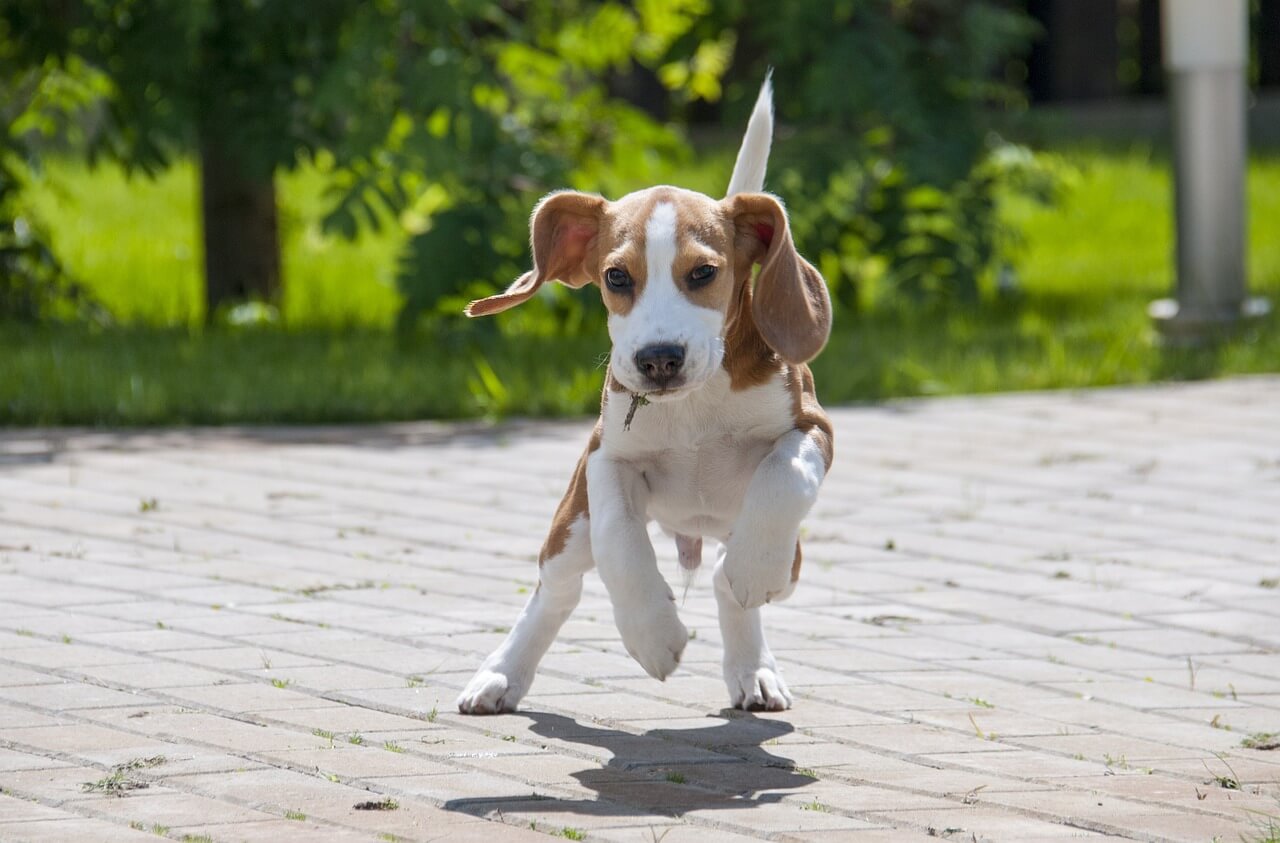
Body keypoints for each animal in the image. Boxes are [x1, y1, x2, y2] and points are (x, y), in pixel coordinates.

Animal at [455, 77, 834, 711]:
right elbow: (619, 540)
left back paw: (751, 662)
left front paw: (754, 566)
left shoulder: (812, 428)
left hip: (794, 561)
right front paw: (653, 634)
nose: (658, 358)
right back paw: (500, 674)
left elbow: (784, 474)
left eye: (704, 274)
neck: (695, 406)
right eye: (616, 278)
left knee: (728, 580)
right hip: (570, 526)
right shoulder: (605, 456)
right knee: (556, 590)